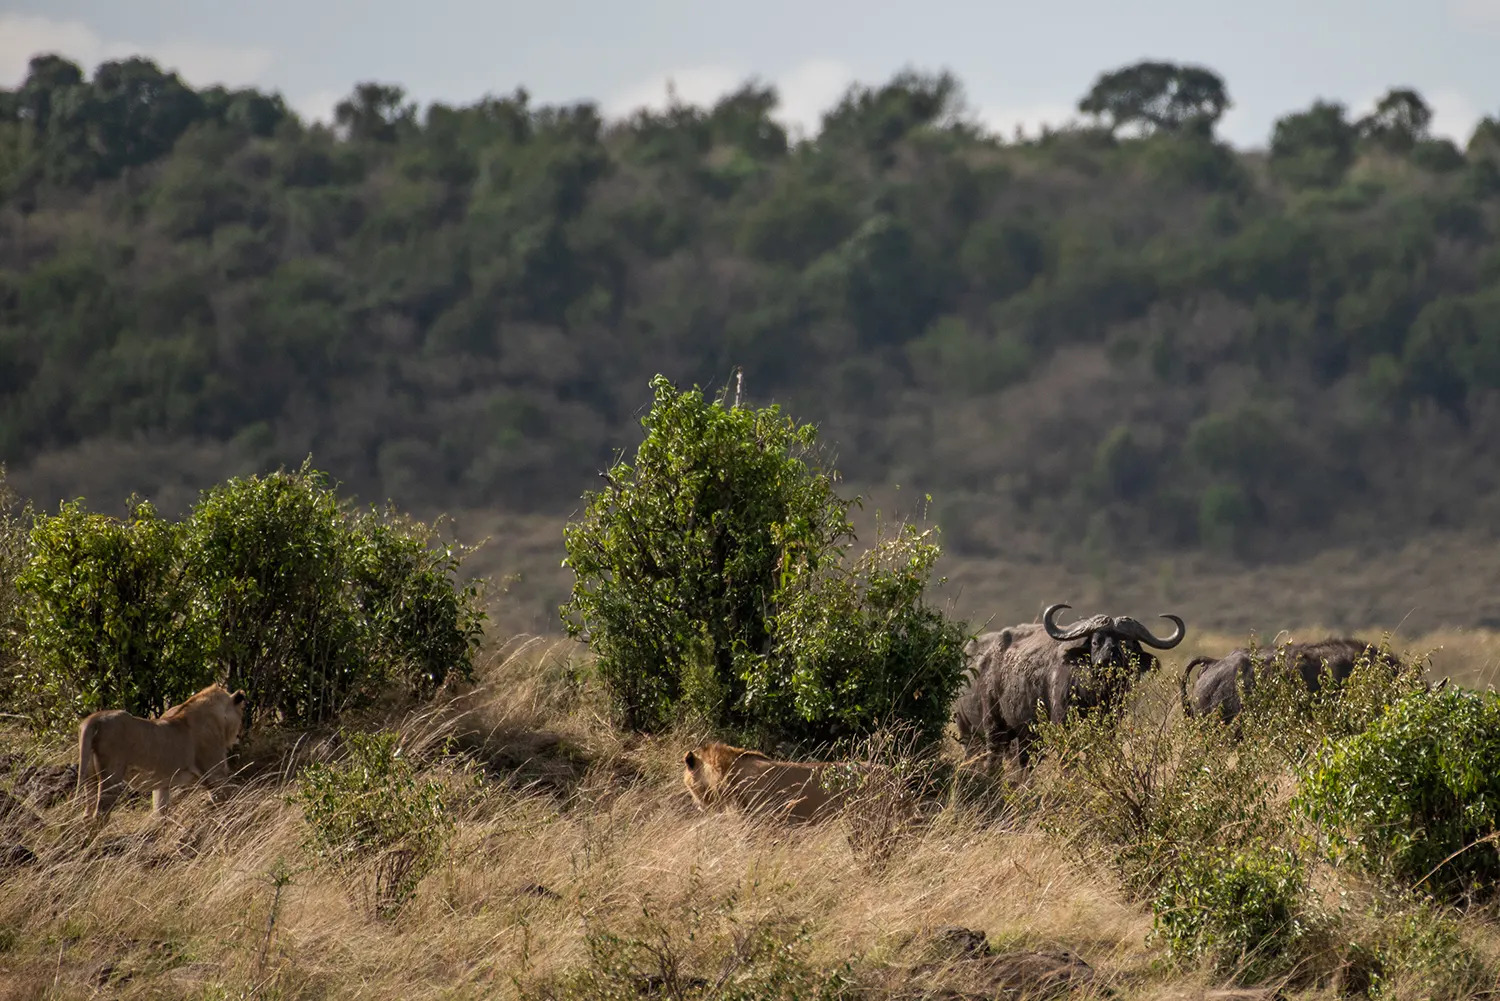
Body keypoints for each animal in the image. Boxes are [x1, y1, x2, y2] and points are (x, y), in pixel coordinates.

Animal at [76, 684, 249, 828]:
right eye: (242, 713)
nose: (240, 735)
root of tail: (94, 719)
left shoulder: (162, 784)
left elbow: (160, 811)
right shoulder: (215, 775)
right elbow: (228, 801)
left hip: (90, 778)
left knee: (87, 815)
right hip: (111, 777)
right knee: (100, 815)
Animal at [954, 603, 1188, 768]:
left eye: (1127, 644)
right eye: (1095, 641)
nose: (1107, 661)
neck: (1095, 695)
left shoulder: (1109, 728)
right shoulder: (1063, 725)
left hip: (1024, 737)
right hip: (985, 728)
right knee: (990, 759)